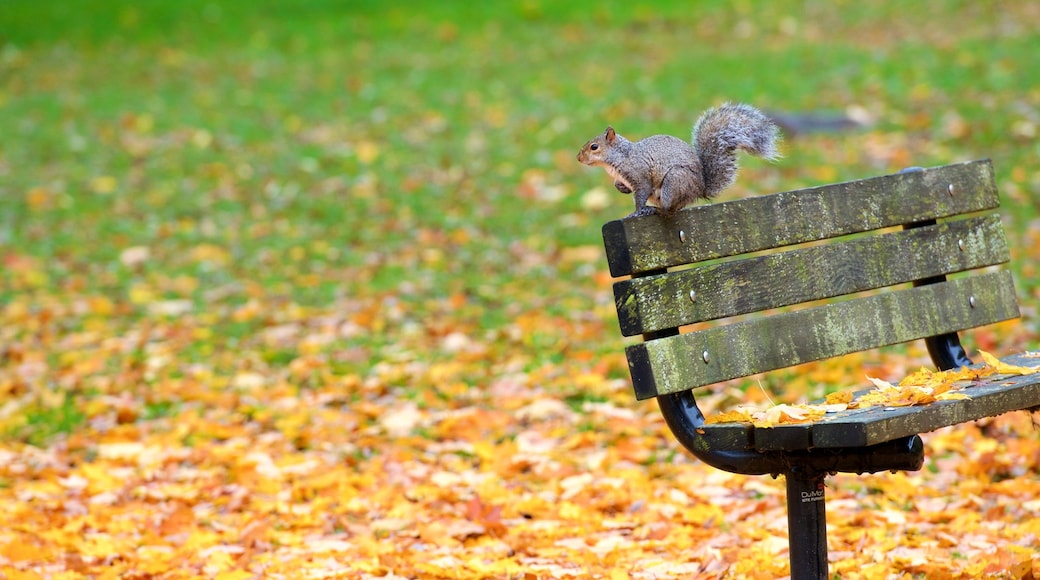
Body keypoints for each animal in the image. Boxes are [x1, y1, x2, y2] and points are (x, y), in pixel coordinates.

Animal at [578, 102, 782, 218]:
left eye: (594, 147)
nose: (578, 157)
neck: (621, 156)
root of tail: (700, 189)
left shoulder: (639, 173)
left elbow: (641, 193)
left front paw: (636, 212)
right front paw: (621, 188)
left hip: (674, 182)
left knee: (670, 209)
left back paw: (655, 210)